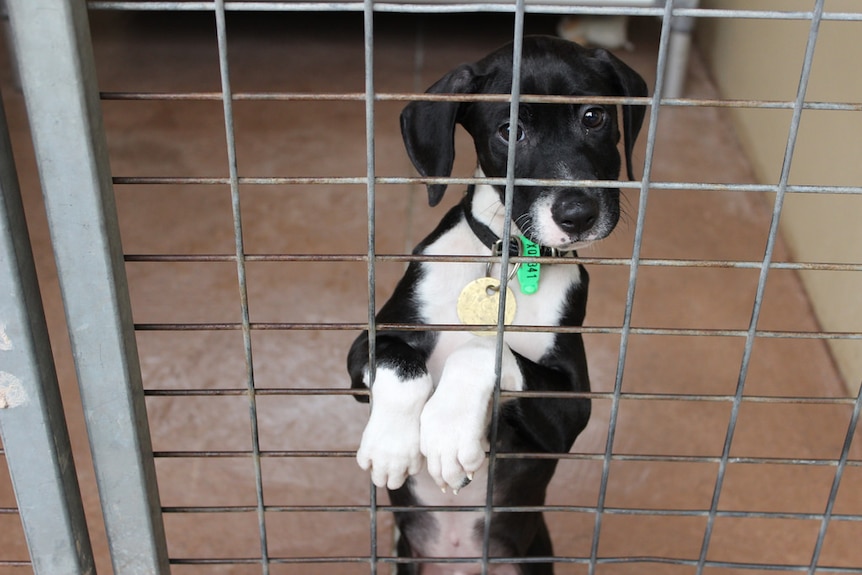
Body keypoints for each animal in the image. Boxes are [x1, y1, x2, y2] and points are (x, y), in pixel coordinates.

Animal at [348, 33, 644, 572]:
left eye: (594, 117)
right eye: (510, 131)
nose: (578, 213)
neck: (503, 259)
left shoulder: (573, 411)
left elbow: (483, 350)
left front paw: (448, 432)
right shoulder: (367, 347)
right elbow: (400, 362)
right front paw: (392, 445)